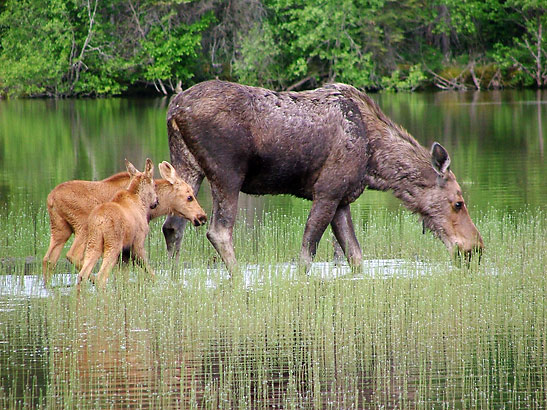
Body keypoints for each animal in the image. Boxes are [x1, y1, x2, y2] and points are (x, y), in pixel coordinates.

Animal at [163, 79, 484, 272]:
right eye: (458, 202)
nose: (476, 248)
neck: (375, 164)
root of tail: (173, 109)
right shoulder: (327, 191)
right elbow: (307, 253)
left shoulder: (342, 199)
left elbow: (355, 256)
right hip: (227, 173)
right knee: (218, 231)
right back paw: (240, 280)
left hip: (187, 167)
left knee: (172, 227)